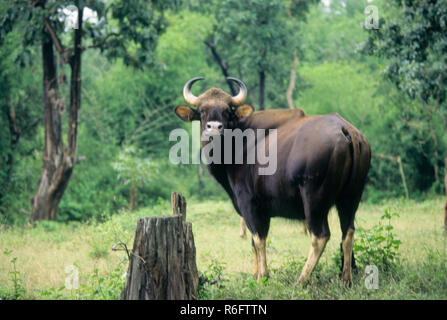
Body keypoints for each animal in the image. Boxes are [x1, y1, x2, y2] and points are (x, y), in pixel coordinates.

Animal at [173, 77, 372, 284]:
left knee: (320, 236)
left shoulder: (250, 204)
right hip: (350, 197)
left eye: (227, 110)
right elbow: (255, 242)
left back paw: (301, 280)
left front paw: (263, 276)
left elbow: (258, 239)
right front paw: (255, 274)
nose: (214, 128)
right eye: (202, 110)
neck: (238, 144)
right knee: (348, 232)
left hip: (314, 200)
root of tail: (345, 129)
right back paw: (346, 278)